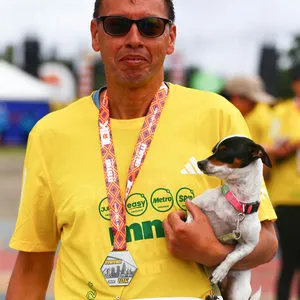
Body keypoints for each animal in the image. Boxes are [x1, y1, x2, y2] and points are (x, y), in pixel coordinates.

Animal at [185, 135, 272, 300]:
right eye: (214, 150)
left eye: (224, 151)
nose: (199, 163)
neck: (236, 202)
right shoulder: (194, 203)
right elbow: (190, 217)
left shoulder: (249, 245)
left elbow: (232, 257)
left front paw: (220, 272)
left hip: (237, 291)